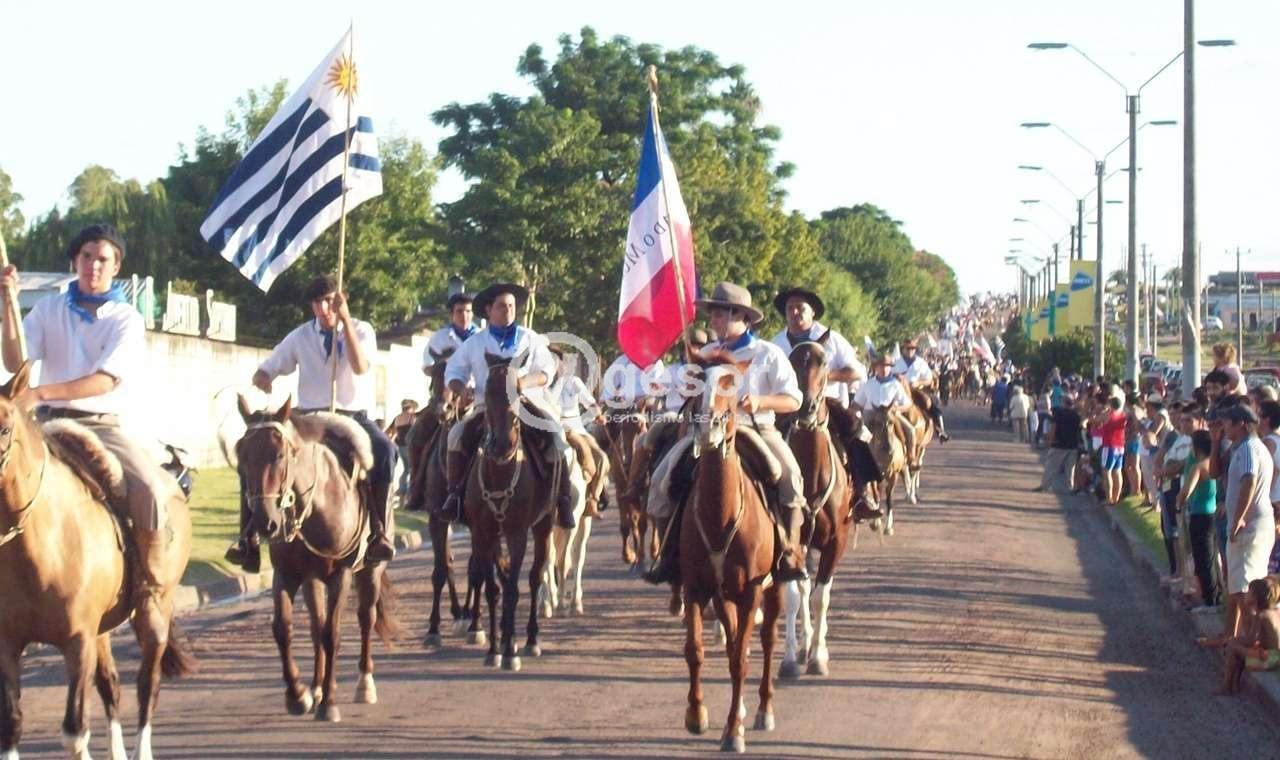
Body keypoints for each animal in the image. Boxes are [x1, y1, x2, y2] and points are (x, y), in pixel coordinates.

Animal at [0, 362, 195, 760]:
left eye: (5, 428)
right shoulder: (8, 644)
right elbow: (11, 725)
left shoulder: (78, 642)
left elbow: (74, 733)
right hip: (103, 629)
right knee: (111, 686)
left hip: (153, 611)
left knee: (146, 686)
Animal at [235, 397, 399, 723]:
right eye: (241, 458)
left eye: (279, 455)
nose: (265, 524)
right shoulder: (286, 574)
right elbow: (283, 629)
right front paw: (298, 695)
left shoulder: (341, 574)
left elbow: (332, 634)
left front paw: (329, 705)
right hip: (312, 579)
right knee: (315, 625)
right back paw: (317, 687)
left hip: (371, 569)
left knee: (365, 618)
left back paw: (363, 684)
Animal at [463, 351, 556, 671]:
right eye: (488, 391)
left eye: (517, 390)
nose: (502, 443)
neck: (500, 473)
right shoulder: (484, 533)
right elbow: (494, 588)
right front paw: (495, 649)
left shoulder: (517, 533)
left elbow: (515, 587)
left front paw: (510, 652)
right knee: (503, 579)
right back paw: (508, 637)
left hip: (544, 525)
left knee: (535, 576)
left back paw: (529, 640)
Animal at [679, 355, 783, 753]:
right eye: (695, 380)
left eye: (732, 385)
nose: (708, 427)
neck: (720, 514)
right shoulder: (695, 587)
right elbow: (696, 650)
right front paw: (697, 714)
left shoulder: (752, 588)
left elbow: (740, 660)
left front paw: (734, 732)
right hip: (724, 595)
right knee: (736, 636)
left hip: (775, 586)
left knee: (767, 640)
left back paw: (763, 710)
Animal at [864, 406, 908, 536]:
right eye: (878, 422)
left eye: (892, 422)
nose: (888, 448)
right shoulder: (873, 477)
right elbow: (876, 496)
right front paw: (875, 523)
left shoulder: (893, 476)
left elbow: (889, 500)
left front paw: (888, 528)